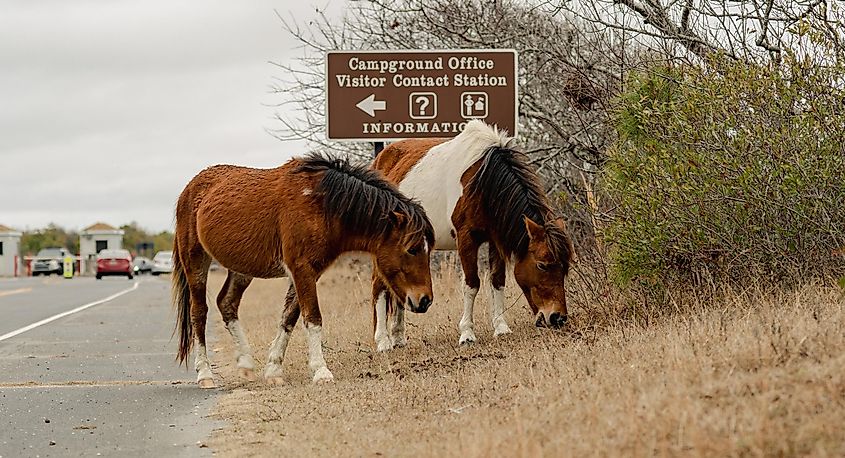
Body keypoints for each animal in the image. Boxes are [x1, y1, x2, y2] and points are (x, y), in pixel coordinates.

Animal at [173, 154, 436, 386]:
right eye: (412, 249)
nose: (424, 300)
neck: (322, 205)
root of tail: (190, 188)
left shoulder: (308, 273)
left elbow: (289, 317)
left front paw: (274, 370)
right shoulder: (302, 270)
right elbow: (313, 318)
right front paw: (321, 372)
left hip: (242, 269)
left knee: (227, 303)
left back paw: (246, 364)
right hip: (196, 261)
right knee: (199, 313)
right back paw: (205, 374)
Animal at [370, 120, 572, 348]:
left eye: (565, 267)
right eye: (542, 265)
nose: (557, 317)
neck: (483, 181)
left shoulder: (495, 239)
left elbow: (497, 281)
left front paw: (501, 328)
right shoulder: (466, 238)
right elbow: (472, 284)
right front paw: (467, 333)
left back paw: (398, 337)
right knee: (379, 286)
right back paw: (383, 341)